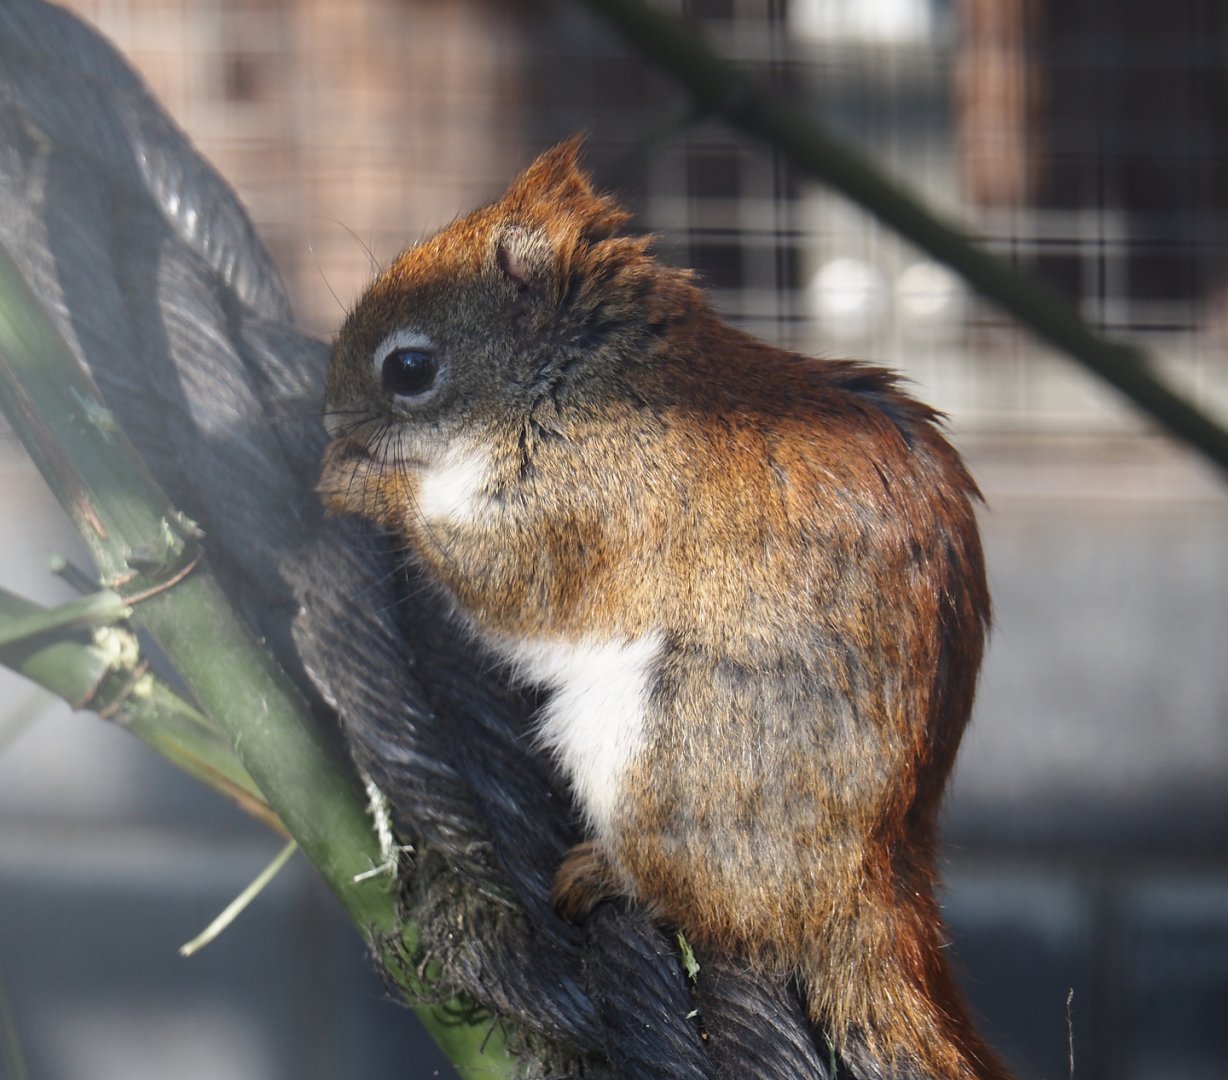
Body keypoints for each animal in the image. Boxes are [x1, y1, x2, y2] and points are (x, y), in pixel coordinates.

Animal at [319, 137, 1008, 1080]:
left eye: (410, 368)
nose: (328, 415)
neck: (579, 385)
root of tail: (859, 888)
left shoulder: (597, 506)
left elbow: (509, 582)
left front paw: (361, 481)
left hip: (675, 748)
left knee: (717, 909)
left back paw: (613, 878)